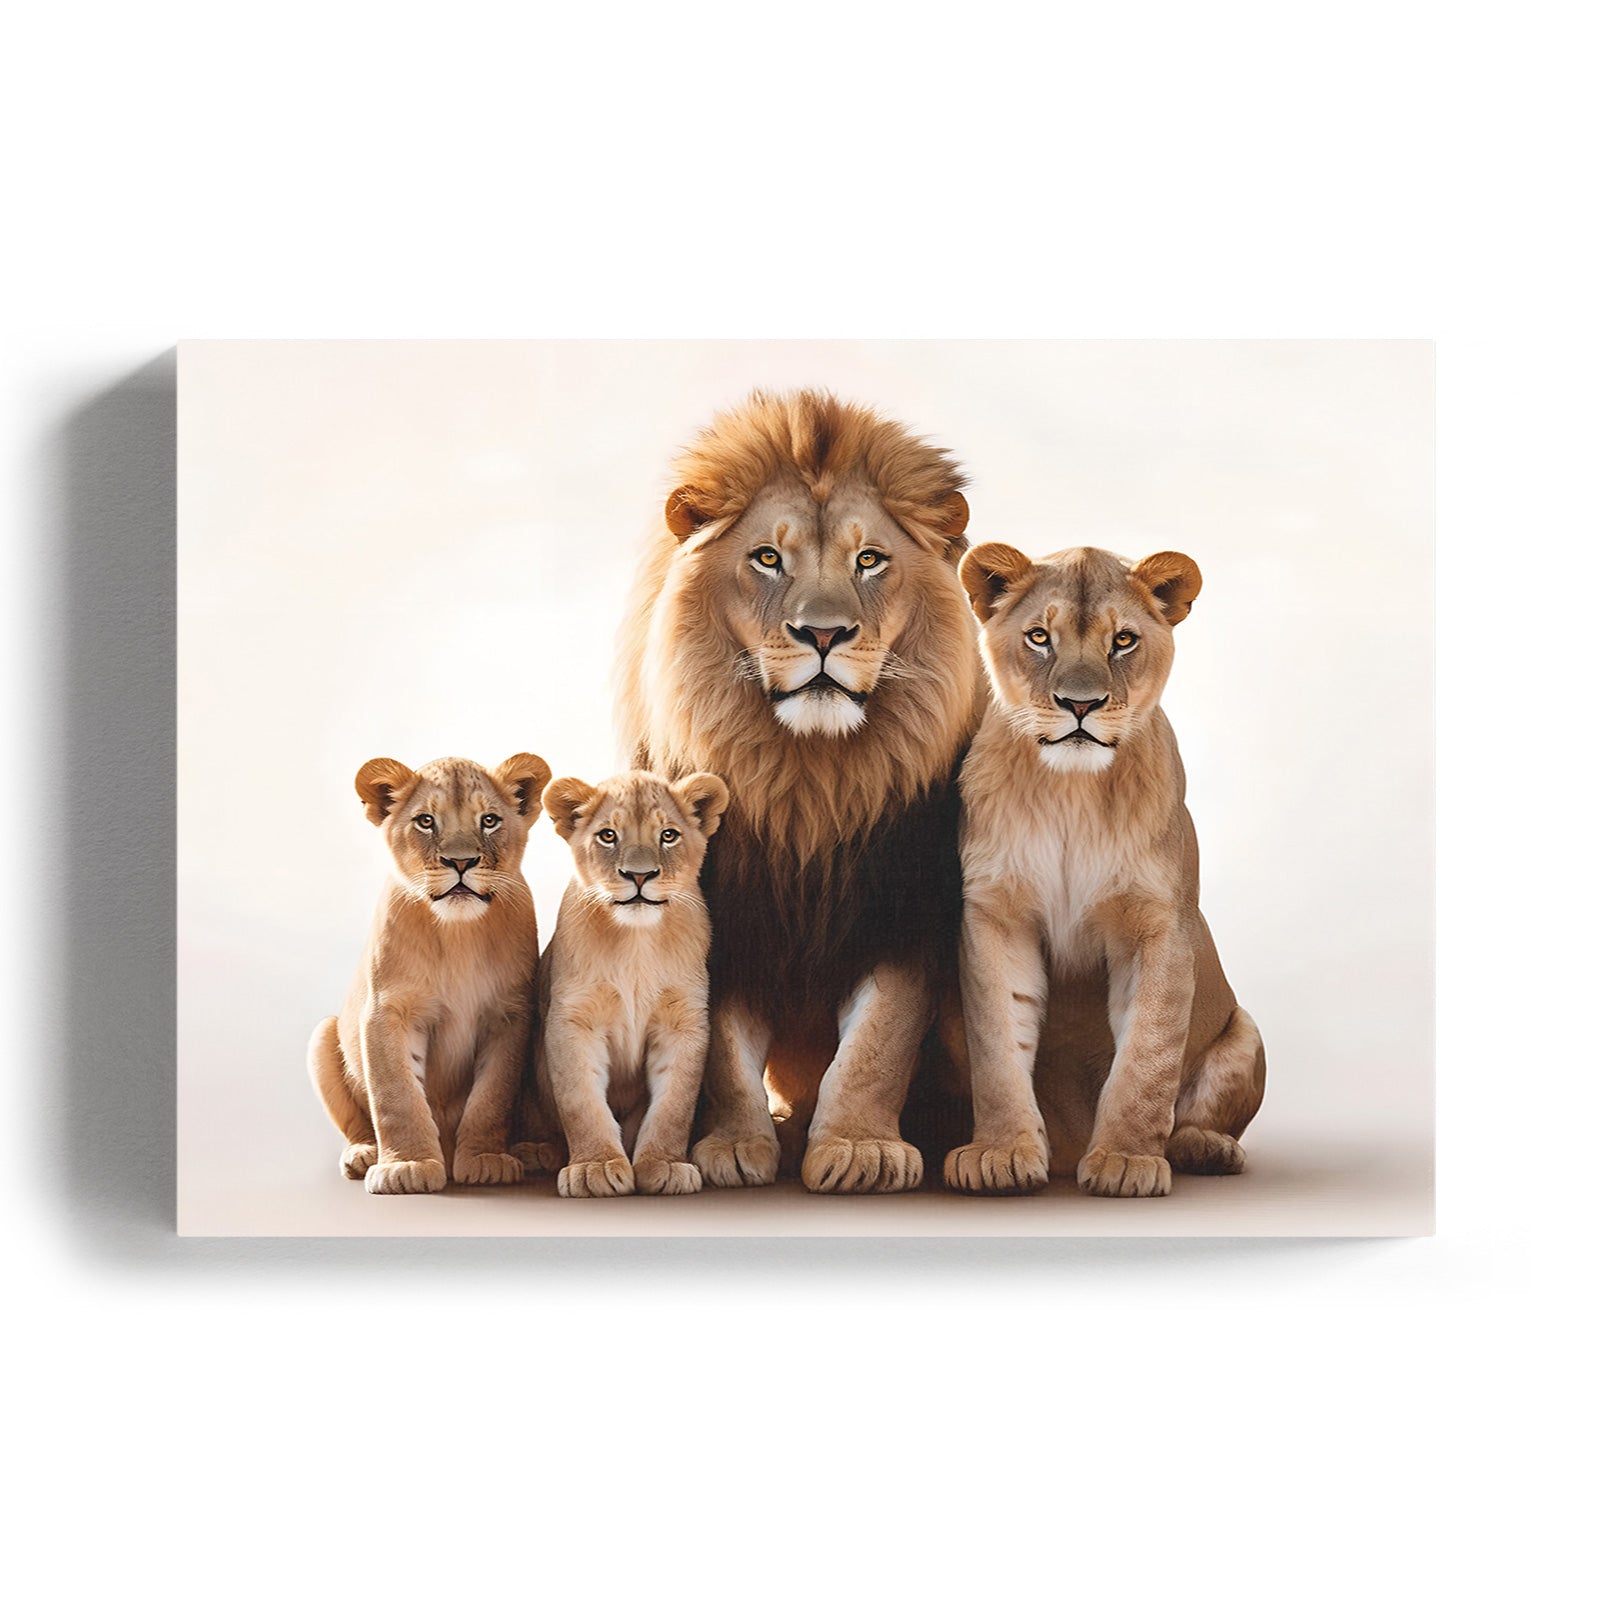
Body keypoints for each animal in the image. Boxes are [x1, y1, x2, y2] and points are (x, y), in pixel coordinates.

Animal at [307, 751, 551, 1194]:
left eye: (489, 820)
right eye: (425, 821)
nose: (460, 862)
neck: (457, 934)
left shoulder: (510, 1015)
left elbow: (492, 1096)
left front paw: (486, 1160)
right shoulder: (387, 1011)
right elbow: (397, 1094)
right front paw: (407, 1166)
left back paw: (532, 1151)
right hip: (322, 1035)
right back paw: (363, 1154)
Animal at [535, 769, 730, 1197]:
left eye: (668, 835)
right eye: (608, 836)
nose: (639, 875)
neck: (636, 942)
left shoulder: (683, 1022)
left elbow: (675, 1104)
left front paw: (664, 1165)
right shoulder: (573, 1020)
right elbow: (581, 1101)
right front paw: (594, 1167)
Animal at [616, 389, 981, 1193]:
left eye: (869, 559)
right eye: (768, 558)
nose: (823, 634)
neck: (807, 783)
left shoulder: (906, 920)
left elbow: (876, 1045)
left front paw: (860, 1149)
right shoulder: (722, 918)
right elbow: (722, 1051)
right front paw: (733, 1147)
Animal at [945, 543, 1265, 1197]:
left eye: (1123, 641)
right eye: (1039, 636)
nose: (1080, 704)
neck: (1073, 791)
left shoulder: (1160, 925)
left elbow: (1148, 1054)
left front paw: (1125, 1160)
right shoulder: (995, 916)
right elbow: (997, 1046)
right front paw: (1000, 1153)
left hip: (1246, 1030)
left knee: (1201, 1114)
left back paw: (1205, 1148)